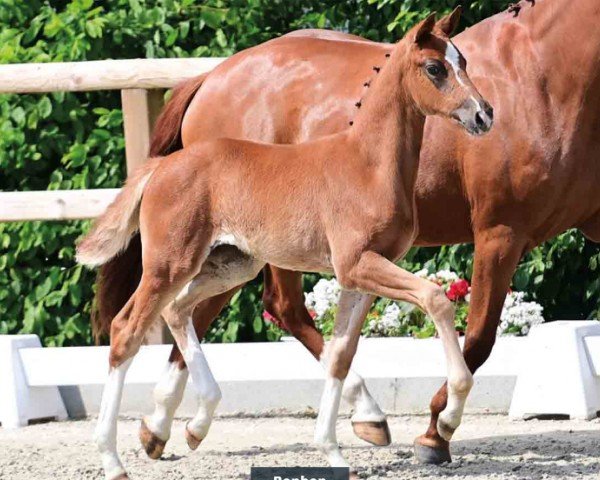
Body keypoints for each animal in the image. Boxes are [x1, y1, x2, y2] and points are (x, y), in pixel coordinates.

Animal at [94, 0, 600, 466]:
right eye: (435, 68)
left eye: (466, 64)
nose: (484, 115)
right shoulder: (489, 233)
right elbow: (459, 320)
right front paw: (438, 428)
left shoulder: (365, 272)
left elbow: (345, 350)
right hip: (183, 261)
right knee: (143, 325)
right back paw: (130, 447)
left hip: (232, 261)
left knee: (188, 311)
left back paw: (176, 425)